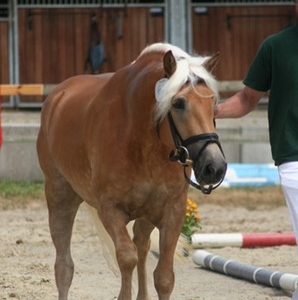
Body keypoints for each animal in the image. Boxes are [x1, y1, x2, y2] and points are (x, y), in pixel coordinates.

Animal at [37, 42, 227, 300]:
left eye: (213, 103)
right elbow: (127, 258)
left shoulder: (173, 211)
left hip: (146, 214)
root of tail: (57, 96)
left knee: (142, 245)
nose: (214, 167)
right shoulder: (110, 210)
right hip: (61, 199)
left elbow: (164, 277)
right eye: (178, 103)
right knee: (64, 266)